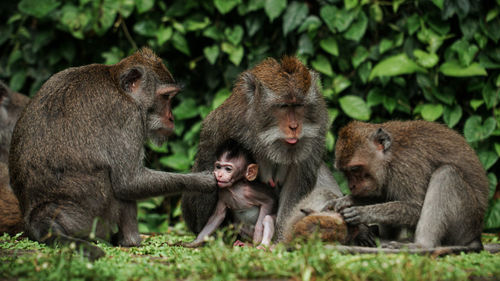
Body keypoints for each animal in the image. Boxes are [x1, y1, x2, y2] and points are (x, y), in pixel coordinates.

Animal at [7, 47, 215, 260]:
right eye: (165, 97)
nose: (171, 118)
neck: (118, 84)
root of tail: (39, 216)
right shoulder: (128, 116)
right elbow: (129, 182)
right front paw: (204, 181)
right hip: (90, 218)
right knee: (118, 188)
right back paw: (131, 241)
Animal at [182, 56, 346, 241]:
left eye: (299, 106)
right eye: (284, 106)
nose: (294, 126)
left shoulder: (315, 136)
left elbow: (296, 186)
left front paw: (279, 240)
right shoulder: (222, 126)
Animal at [322, 118, 490, 252]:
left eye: (355, 169)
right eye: (345, 172)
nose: (352, 186)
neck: (390, 157)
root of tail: (475, 235)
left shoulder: (407, 166)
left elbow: (416, 208)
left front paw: (362, 212)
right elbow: (384, 195)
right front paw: (345, 201)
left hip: (465, 222)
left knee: (447, 174)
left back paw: (422, 246)